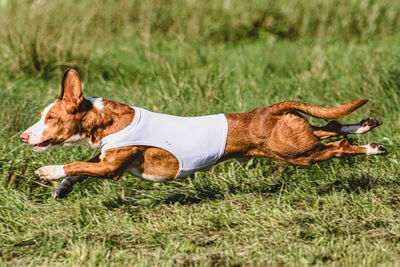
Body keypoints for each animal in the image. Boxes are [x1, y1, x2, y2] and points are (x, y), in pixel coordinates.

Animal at [19, 69, 388, 199]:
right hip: (295, 139)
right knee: (329, 127)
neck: (108, 121)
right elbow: (80, 169)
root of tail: (270, 109)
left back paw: (371, 149)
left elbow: (76, 165)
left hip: (299, 155)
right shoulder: (105, 158)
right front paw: (62, 188)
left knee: (338, 145)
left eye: (50, 117)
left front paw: (49, 172)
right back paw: (365, 125)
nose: (23, 136)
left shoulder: (111, 167)